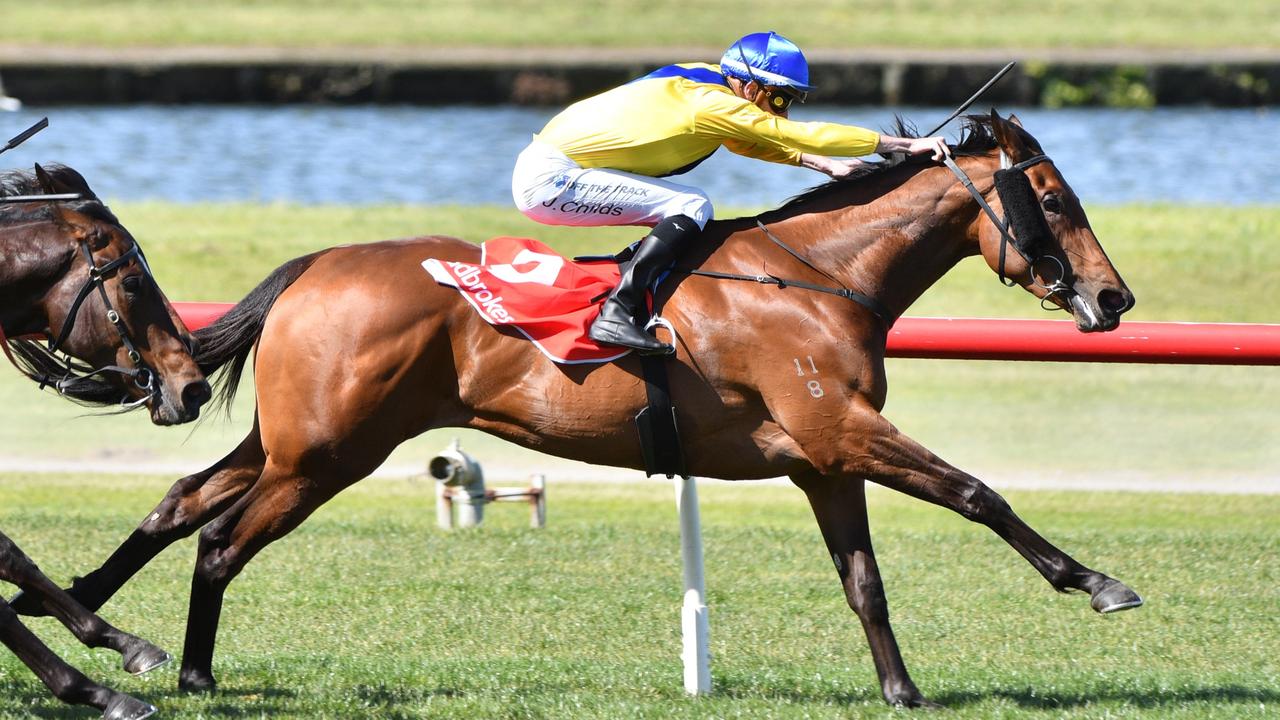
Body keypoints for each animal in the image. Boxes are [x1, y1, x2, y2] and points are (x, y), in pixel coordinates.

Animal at [37, 114, 1141, 702]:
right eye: (1054, 197)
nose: (1112, 299)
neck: (818, 275)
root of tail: (317, 265)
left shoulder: (825, 459)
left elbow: (864, 582)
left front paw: (900, 690)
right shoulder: (844, 431)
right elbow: (979, 493)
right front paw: (1096, 582)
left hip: (295, 437)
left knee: (180, 501)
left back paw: (86, 609)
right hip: (326, 455)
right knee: (221, 542)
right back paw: (188, 673)